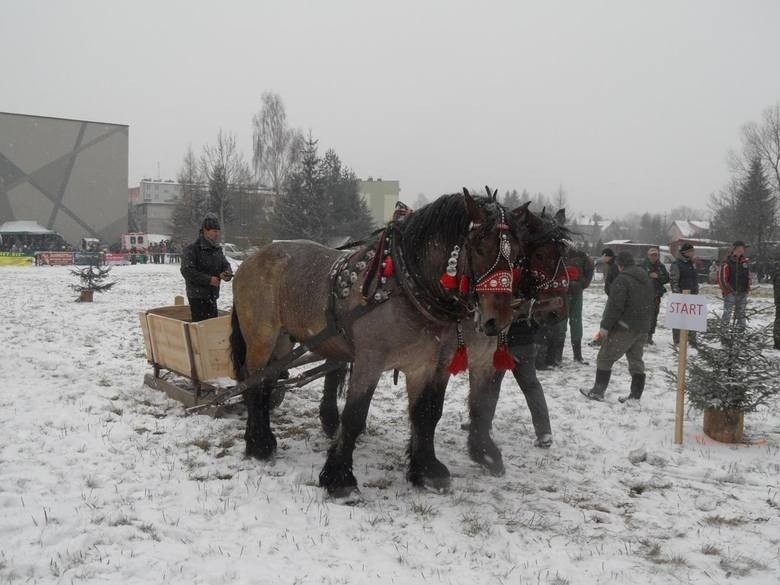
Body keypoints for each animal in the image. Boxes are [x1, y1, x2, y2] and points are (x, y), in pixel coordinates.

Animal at [229, 189, 528, 496]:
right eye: (479, 248)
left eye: (518, 254)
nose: (499, 318)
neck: (406, 287)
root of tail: (253, 258)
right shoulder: (369, 361)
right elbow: (354, 415)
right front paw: (339, 478)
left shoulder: (427, 363)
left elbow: (427, 413)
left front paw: (427, 470)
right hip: (261, 336)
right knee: (254, 382)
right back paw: (258, 444)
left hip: (284, 340)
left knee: (268, 381)